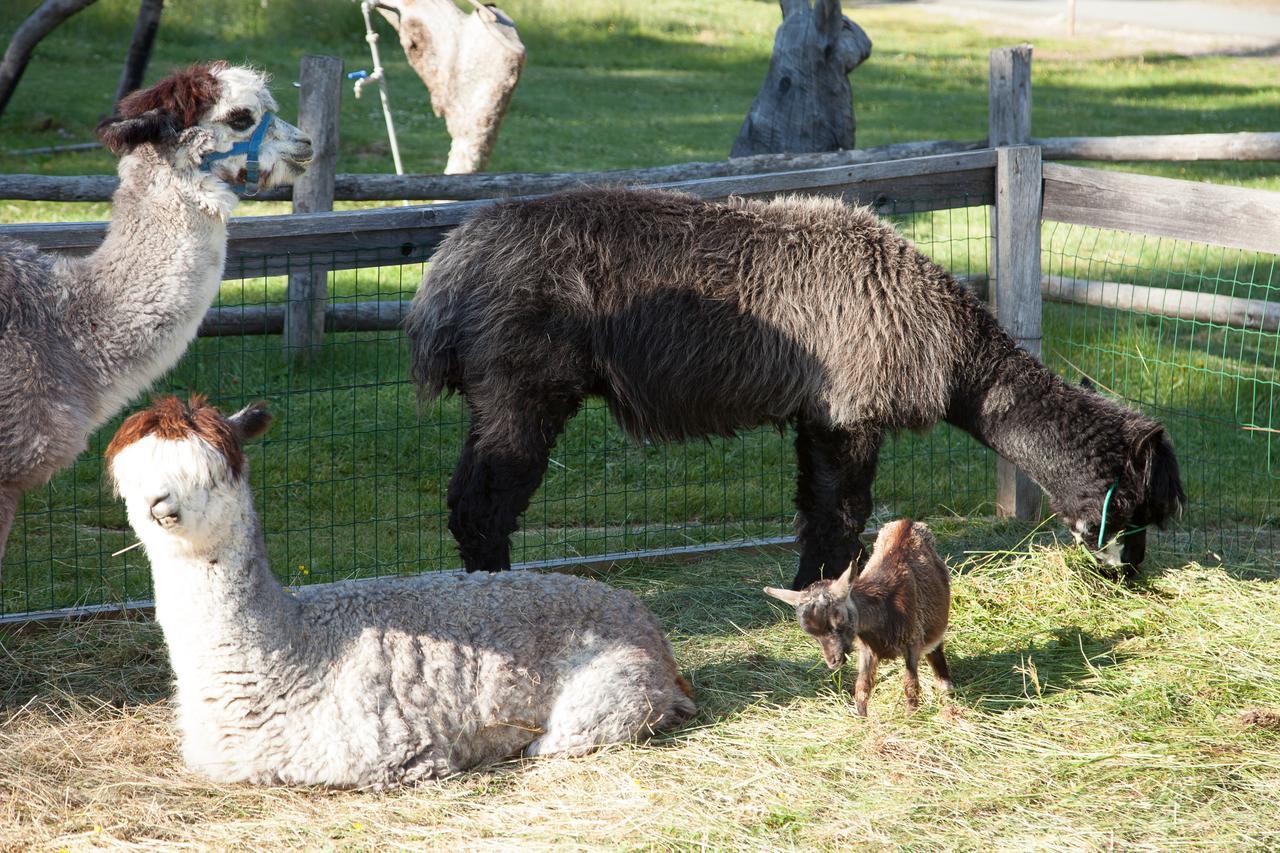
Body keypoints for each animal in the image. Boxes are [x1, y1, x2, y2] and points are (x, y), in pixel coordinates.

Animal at [757, 514, 952, 712]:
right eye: (810, 633)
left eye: (838, 620)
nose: (833, 661)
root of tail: (907, 521)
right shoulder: (866, 649)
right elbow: (862, 688)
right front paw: (861, 716)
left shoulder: (912, 641)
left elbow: (910, 685)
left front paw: (910, 714)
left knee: (935, 646)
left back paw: (945, 684)